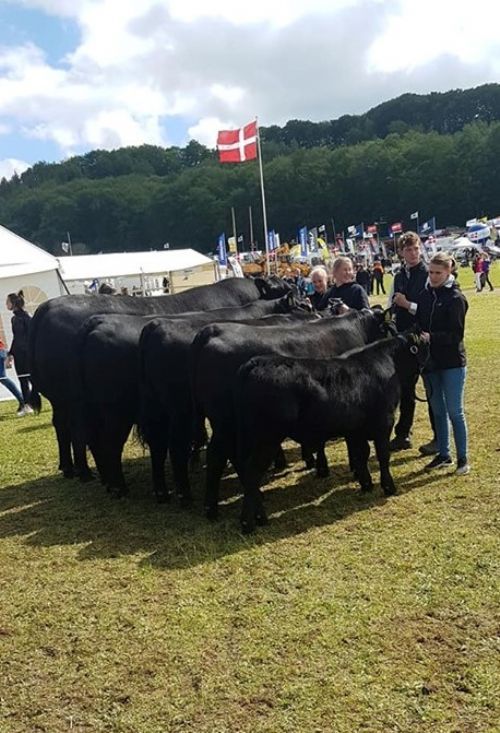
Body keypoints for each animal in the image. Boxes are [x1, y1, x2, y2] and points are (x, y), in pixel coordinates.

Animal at [28, 276, 292, 480]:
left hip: (62, 400)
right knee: (79, 430)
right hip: (81, 401)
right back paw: (85, 472)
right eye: (283, 286)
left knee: (63, 427)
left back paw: (69, 468)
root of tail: (46, 307)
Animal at [191, 306, 390, 516]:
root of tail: (210, 331)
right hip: (226, 422)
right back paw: (214, 508)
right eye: (386, 328)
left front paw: (320, 466)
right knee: (218, 455)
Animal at [236, 336, 416, 532]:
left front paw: (366, 484)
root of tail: (256, 362)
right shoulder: (383, 423)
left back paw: (259, 517)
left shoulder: (356, 430)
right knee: (252, 474)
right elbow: (383, 455)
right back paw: (249, 523)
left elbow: (361, 455)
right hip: (267, 439)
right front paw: (389, 487)